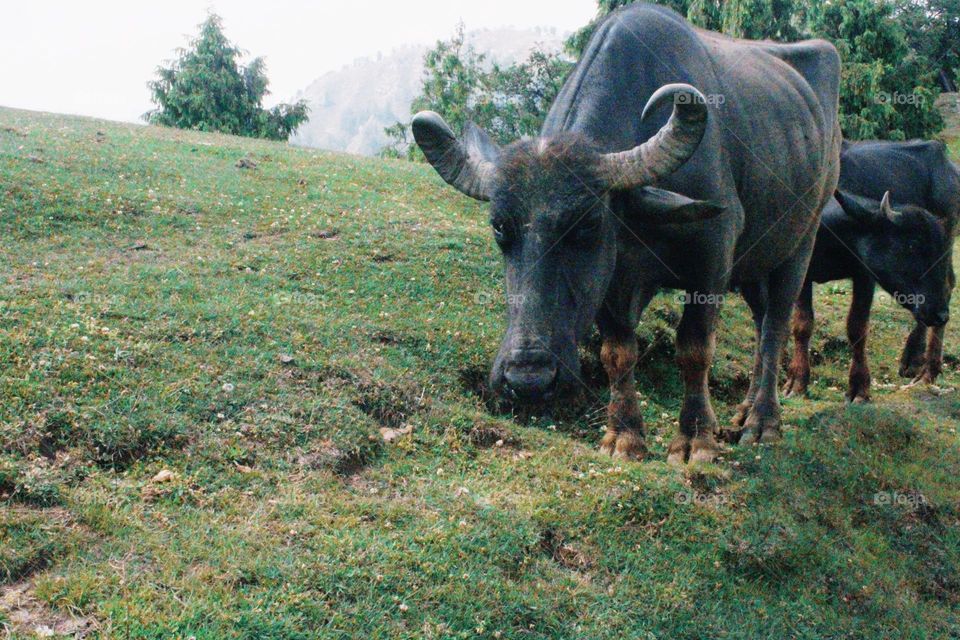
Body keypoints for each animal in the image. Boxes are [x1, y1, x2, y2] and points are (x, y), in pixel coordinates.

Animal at [413, 3, 841, 463]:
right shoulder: (610, 280)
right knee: (761, 324)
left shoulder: (711, 257)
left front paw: (695, 440)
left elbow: (694, 348)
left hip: (800, 242)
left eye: (587, 225)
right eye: (498, 227)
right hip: (754, 264)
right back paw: (743, 412)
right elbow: (616, 353)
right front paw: (624, 435)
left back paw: (762, 422)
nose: (528, 378)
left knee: (777, 324)